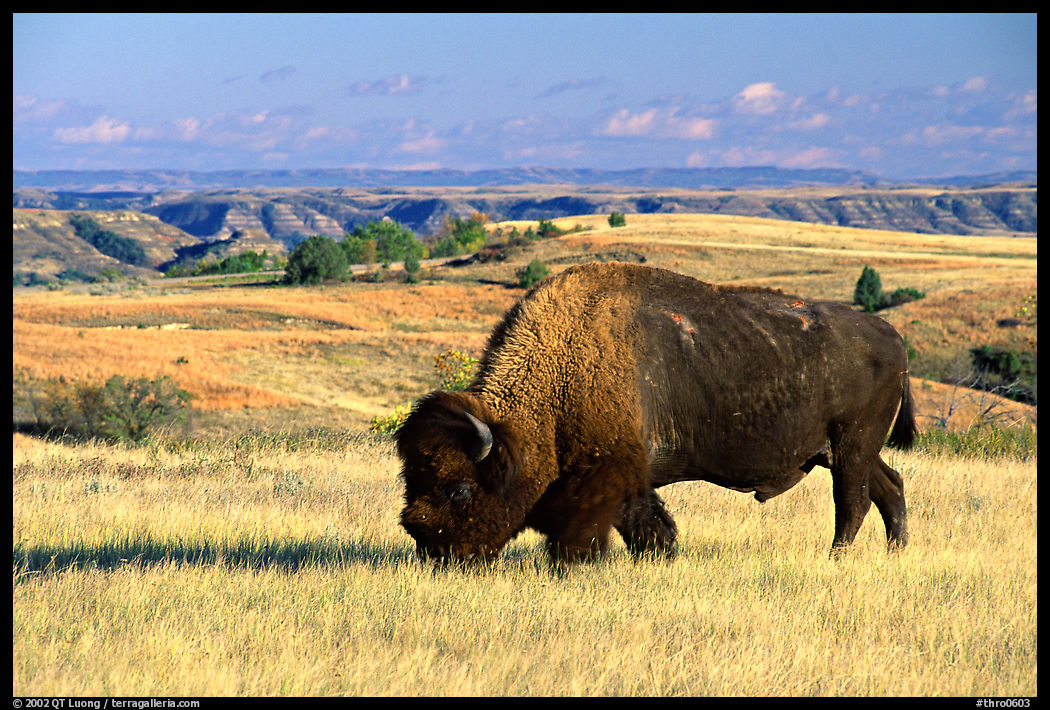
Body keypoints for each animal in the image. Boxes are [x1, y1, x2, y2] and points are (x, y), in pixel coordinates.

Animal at [396, 262, 914, 564]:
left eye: (460, 489)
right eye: (412, 479)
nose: (430, 548)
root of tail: (891, 334)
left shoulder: (612, 474)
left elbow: (614, 527)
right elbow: (647, 523)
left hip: (851, 444)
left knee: (853, 501)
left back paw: (836, 559)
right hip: (838, 450)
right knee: (889, 486)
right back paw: (897, 552)